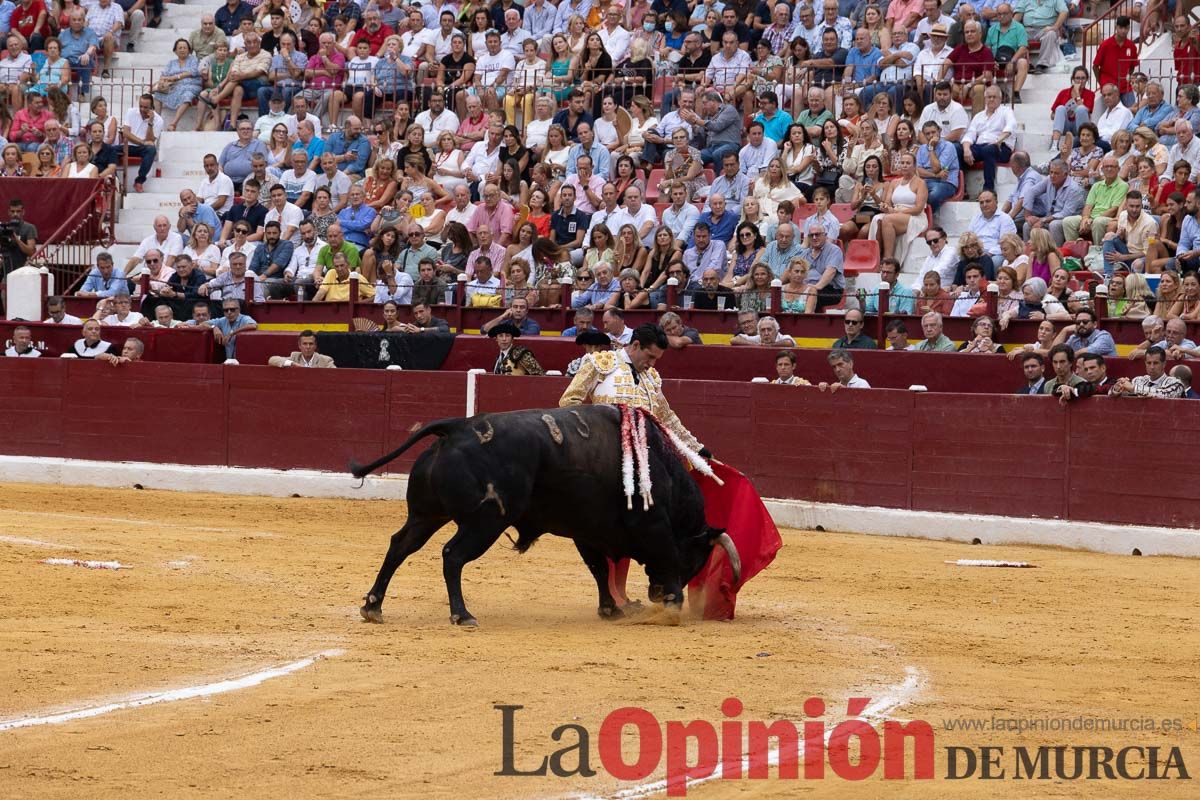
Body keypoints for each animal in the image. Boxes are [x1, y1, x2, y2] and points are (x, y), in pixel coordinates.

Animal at [350, 407, 739, 623]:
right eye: (697, 559)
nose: (656, 595)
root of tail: (457, 427)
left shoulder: (587, 531)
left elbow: (599, 570)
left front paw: (611, 610)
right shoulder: (653, 526)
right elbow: (666, 558)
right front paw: (672, 606)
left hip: (426, 514)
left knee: (400, 546)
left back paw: (373, 607)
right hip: (485, 523)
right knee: (453, 555)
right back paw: (462, 614)